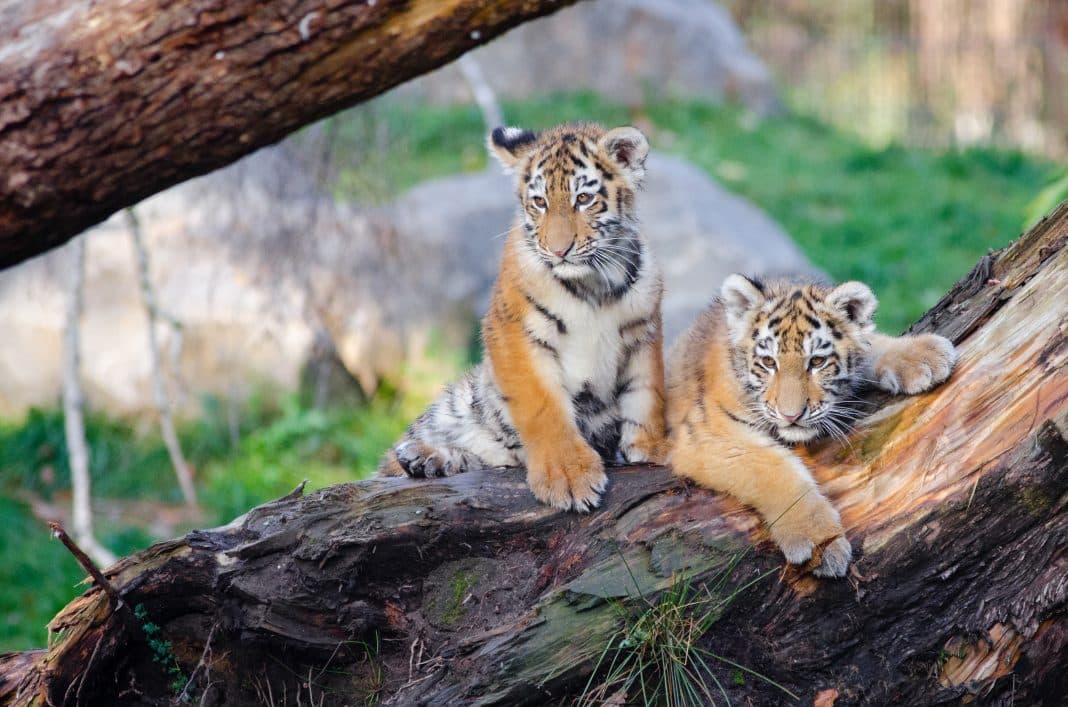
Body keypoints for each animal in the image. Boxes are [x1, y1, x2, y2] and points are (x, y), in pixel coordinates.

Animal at [378, 123, 667, 512]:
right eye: (540, 202)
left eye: (584, 199)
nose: (559, 250)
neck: (591, 283)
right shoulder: (513, 331)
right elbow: (543, 407)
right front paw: (568, 477)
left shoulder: (643, 330)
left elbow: (647, 392)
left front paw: (653, 448)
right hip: (455, 406)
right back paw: (419, 456)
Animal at [667, 274, 957, 577]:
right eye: (768, 362)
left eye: (817, 361)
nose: (791, 416)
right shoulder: (710, 435)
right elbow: (777, 471)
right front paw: (820, 543)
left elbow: (870, 344)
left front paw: (924, 354)